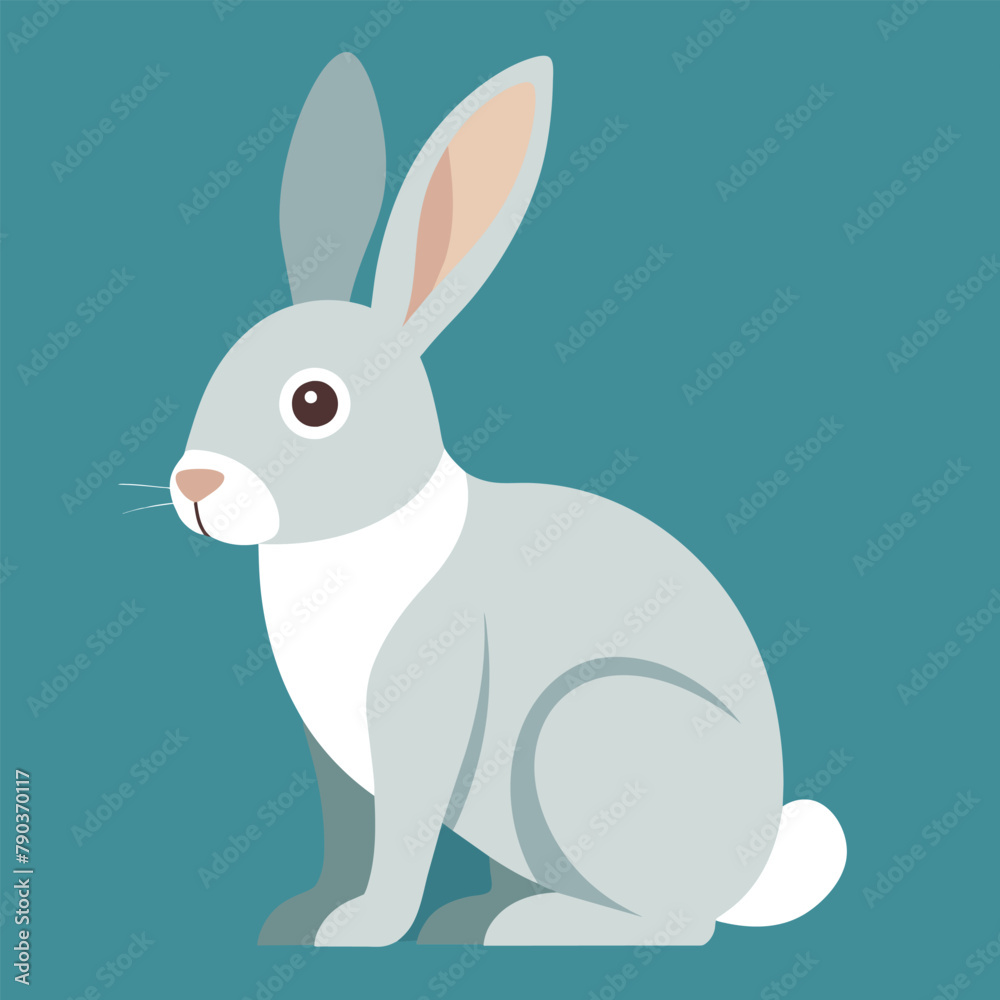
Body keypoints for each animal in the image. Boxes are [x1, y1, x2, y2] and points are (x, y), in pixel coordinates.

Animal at [168, 54, 846, 947]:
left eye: (314, 403)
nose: (194, 488)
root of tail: (754, 867)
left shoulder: (424, 715)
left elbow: (402, 838)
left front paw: (364, 930)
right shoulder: (337, 764)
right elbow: (346, 835)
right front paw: (305, 920)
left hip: (581, 730)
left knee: (679, 927)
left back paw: (529, 927)